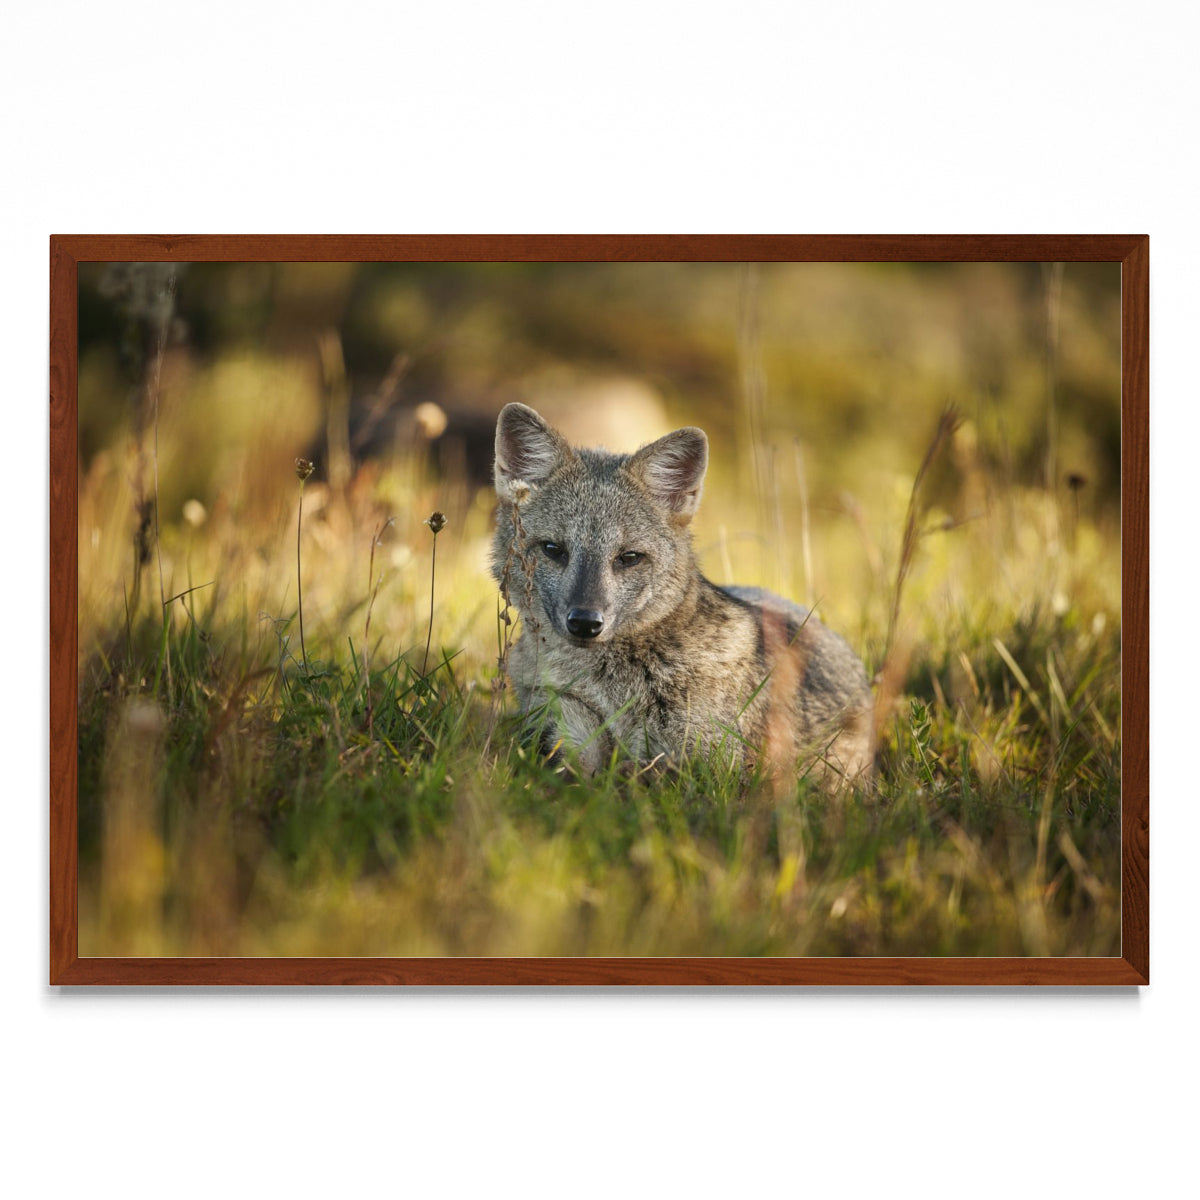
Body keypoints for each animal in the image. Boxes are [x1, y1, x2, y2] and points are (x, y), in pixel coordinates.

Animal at [491, 402, 875, 786]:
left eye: (629, 557)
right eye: (553, 549)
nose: (585, 622)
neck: (612, 690)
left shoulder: (716, 765)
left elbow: (640, 771)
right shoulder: (563, 733)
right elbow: (582, 772)